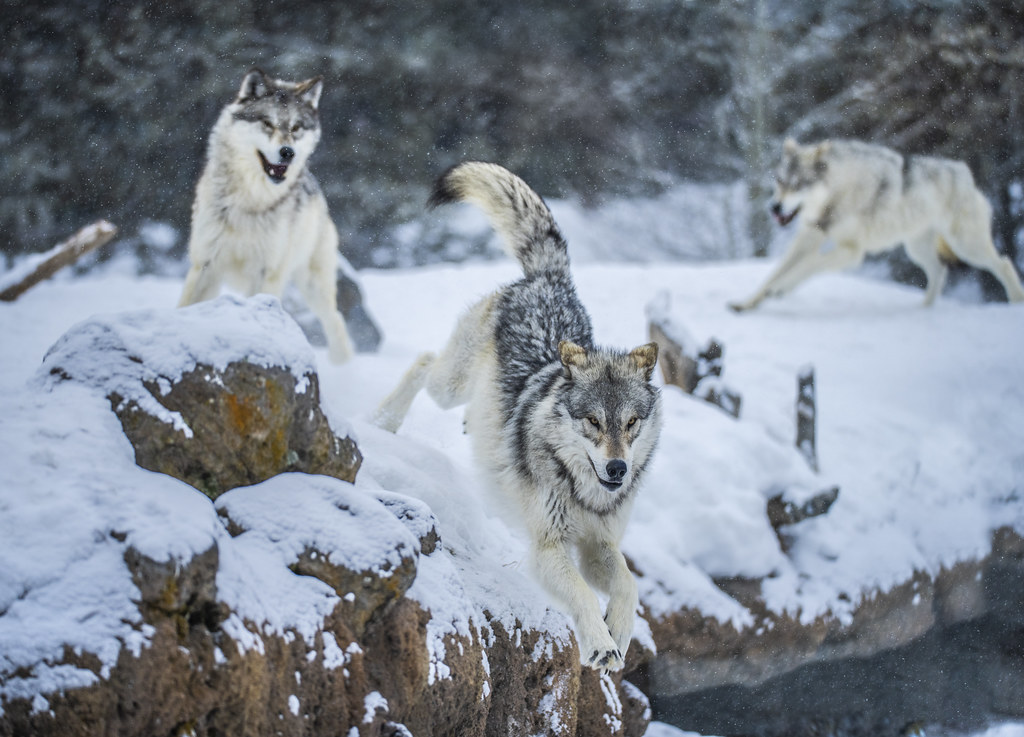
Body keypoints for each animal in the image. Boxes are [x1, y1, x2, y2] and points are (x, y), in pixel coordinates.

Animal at [178, 69, 354, 363]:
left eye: (296, 128)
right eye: (267, 123)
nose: (288, 153)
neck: (252, 202)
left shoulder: (267, 273)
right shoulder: (205, 265)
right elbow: (185, 308)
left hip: (313, 285)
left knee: (336, 321)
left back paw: (344, 368)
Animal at [373, 162, 663, 672]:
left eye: (631, 423)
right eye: (592, 422)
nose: (617, 469)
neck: (584, 492)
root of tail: (551, 278)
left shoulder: (599, 546)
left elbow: (629, 582)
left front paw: (622, 633)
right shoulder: (548, 546)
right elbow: (582, 595)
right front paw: (600, 643)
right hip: (450, 385)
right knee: (425, 360)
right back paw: (384, 421)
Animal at [729, 138, 1024, 312]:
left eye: (798, 185)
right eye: (780, 181)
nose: (774, 207)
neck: (839, 193)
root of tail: (965, 173)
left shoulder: (851, 251)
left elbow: (806, 268)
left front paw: (779, 290)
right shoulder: (808, 240)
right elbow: (773, 273)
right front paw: (747, 303)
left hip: (966, 247)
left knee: (1004, 263)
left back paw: (1015, 301)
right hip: (917, 250)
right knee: (939, 272)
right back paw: (924, 309)